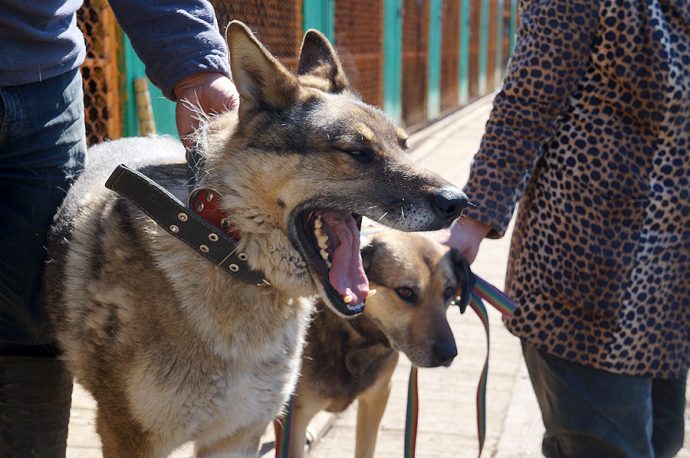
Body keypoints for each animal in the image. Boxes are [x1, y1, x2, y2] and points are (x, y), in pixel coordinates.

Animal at [282, 233, 470, 458]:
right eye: (406, 292)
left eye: (449, 291)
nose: (449, 354)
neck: (357, 340)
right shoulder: (294, 420)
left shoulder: (377, 396)